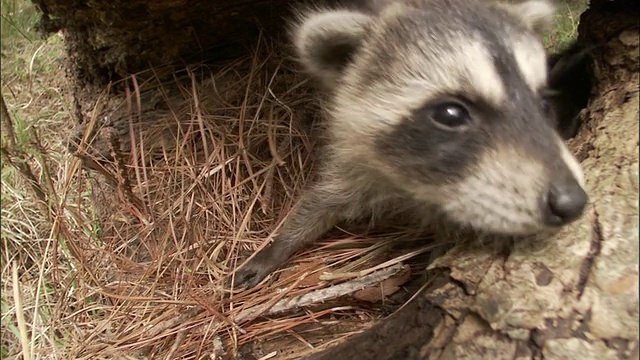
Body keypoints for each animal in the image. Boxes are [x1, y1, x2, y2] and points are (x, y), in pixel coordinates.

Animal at [231, 0, 592, 288]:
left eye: (543, 104)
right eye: (450, 113)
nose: (571, 201)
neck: (414, 187)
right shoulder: (353, 154)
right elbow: (321, 202)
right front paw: (280, 244)